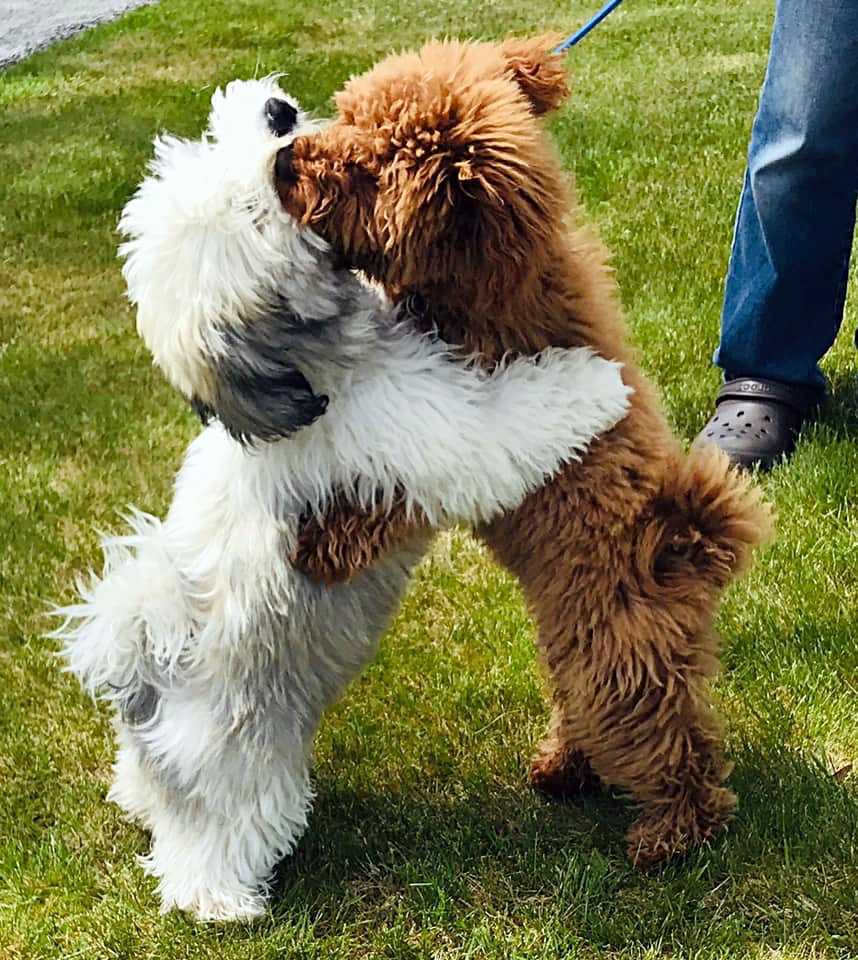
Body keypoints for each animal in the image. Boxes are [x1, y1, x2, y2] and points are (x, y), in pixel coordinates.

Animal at [53, 79, 628, 920]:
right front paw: (594, 385)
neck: (315, 372)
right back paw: (225, 906)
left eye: (216, 144)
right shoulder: (433, 432)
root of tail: (146, 665)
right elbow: (505, 426)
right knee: (206, 847)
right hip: (240, 778)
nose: (278, 116)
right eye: (256, 210)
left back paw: (133, 801)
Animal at [274, 33, 768, 868]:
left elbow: (387, 496)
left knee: (673, 744)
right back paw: (564, 766)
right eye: (346, 116)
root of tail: (689, 549)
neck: (492, 287)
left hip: (615, 660)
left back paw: (672, 831)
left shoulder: (455, 431)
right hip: (574, 646)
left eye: (369, 171)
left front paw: (320, 545)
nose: (280, 161)